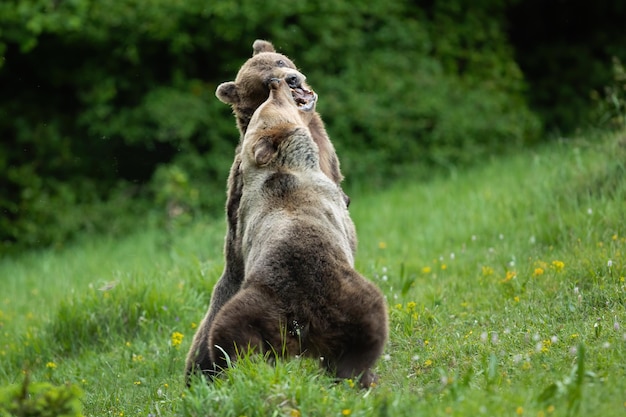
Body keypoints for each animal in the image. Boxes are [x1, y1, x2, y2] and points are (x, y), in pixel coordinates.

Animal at [205, 78, 388, 386]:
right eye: (274, 101)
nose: (277, 82)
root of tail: (298, 319)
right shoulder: (328, 197)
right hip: (340, 294)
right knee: (367, 325)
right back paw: (362, 376)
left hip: (255, 306)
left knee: (228, 336)